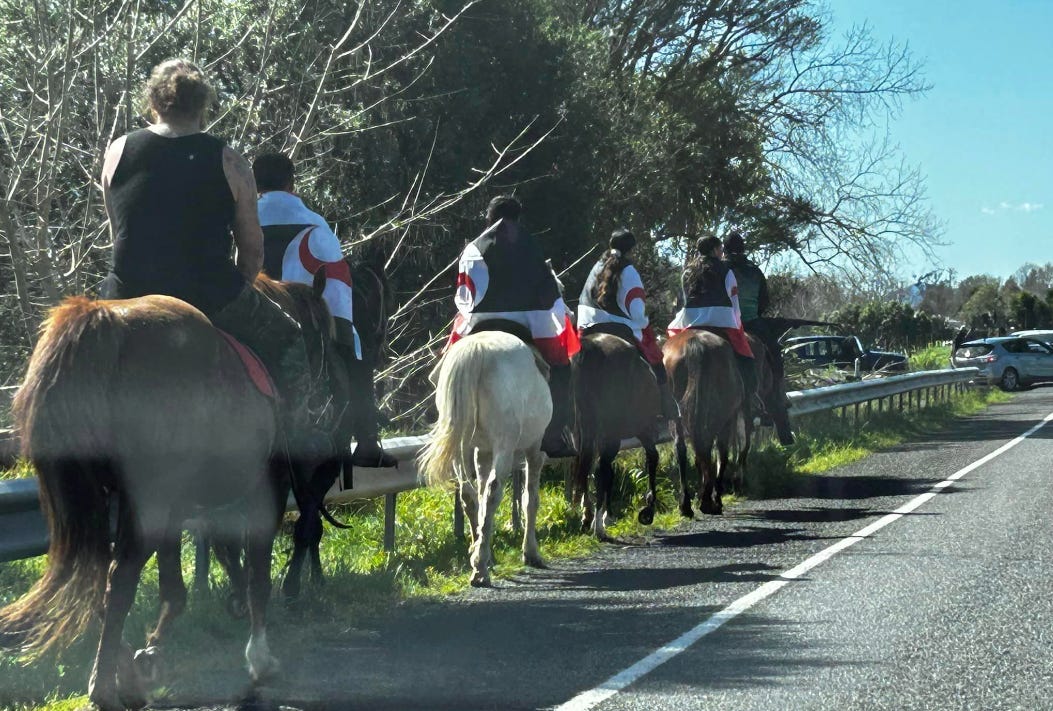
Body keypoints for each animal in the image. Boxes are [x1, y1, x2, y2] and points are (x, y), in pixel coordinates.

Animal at [0, 294, 284, 711]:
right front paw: (260, 659)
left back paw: (121, 674)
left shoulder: (175, 509)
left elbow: (175, 588)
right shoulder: (266, 492)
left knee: (100, 577)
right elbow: (257, 577)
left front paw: (149, 656)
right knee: (120, 577)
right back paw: (105, 688)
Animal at [416, 330, 555, 585]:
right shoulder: (535, 448)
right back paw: (481, 567)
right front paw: (530, 552)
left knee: (469, 494)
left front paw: (481, 543)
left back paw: (478, 554)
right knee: (493, 492)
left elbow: (480, 494)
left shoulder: (483, 451)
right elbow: (530, 499)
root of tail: (475, 350)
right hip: (505, 445)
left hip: (461, 446)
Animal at [572, 330, 661, 543]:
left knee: (587, 468)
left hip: (587, 430)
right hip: (613, 434)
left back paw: (588, 517)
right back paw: (598, 527)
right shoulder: (645, 430)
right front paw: (648, 507)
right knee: (599, 470)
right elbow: (652, 458)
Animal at [661, 328, 745, 518]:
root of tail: (695, 346)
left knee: (683, 449)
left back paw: (686, 504)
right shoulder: (729, 418)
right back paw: (708, 500)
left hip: (676, 414)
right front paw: (715, 498)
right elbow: (720, 454)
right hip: (719, 415)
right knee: (712, 449)